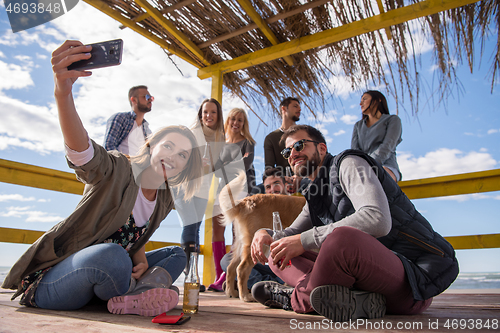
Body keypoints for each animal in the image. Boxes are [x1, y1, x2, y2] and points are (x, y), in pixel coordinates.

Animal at [219, 171, 304, 300]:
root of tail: (245, 201)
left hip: (241, 245)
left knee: (231, 268)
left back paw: (232, 293)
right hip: (257, 246)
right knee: (242, 269)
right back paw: (245, 296)